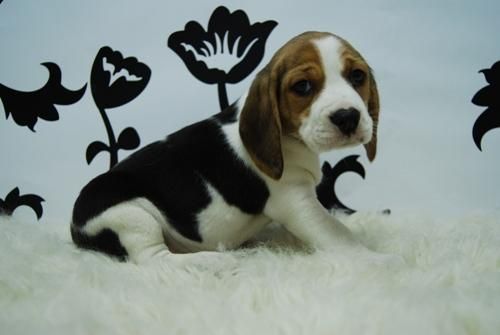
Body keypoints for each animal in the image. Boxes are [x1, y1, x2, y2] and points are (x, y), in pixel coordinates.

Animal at [71, 31, 378, 264]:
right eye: (302, 86)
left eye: (357, 76)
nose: (347, 117)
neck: (289, 138)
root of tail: (74, 227)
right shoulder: (298, 203)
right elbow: (341, 236)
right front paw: (380, 260)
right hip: (129, 216)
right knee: (154, 259)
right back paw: (215, 260)